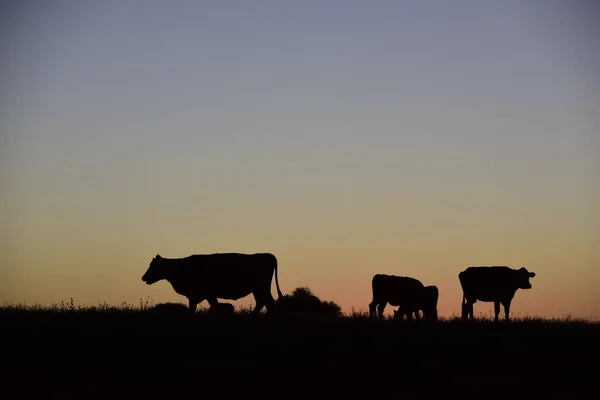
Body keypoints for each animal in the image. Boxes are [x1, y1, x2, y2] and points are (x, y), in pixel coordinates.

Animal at [141, 253, 284, 316]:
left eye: (152, 265)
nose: (143, 277)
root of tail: (268, 255)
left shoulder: (205, 293)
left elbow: (210, 306)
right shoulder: (199, 295)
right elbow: (202, 306)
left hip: (261, 288)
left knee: (268, 302)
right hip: (258, 289)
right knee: (262, 302)